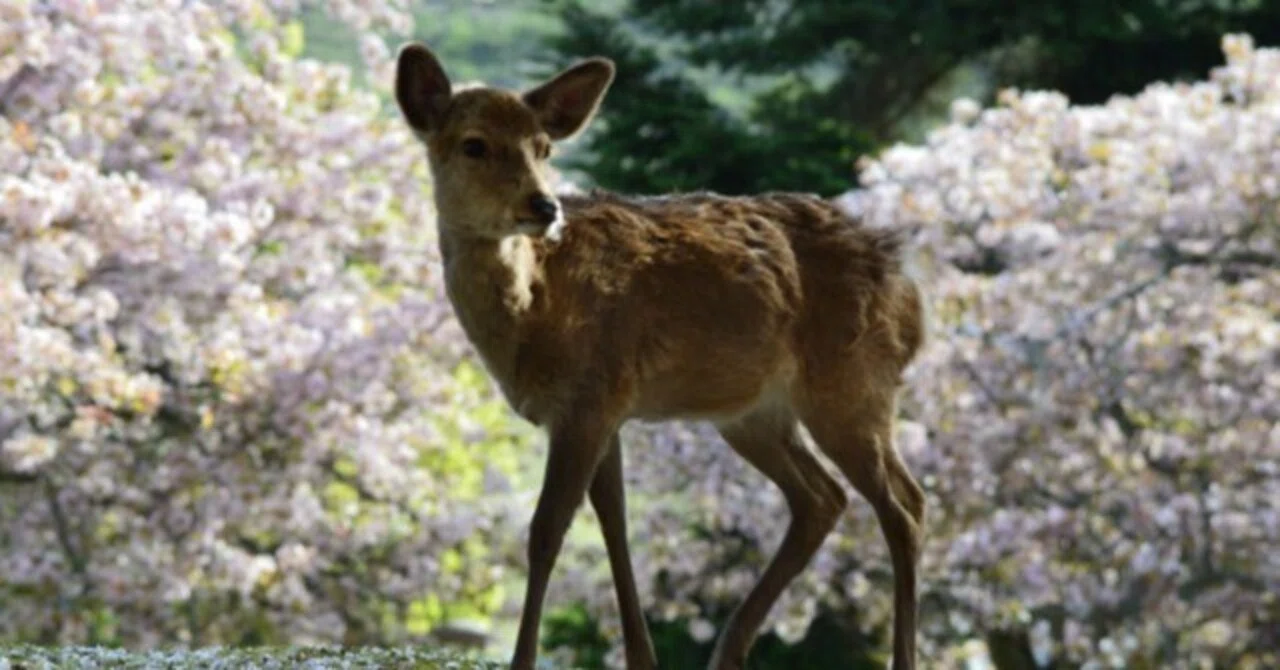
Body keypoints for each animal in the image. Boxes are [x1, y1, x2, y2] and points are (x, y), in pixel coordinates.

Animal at [393, 42, 928, 670]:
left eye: (544, 147)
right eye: (474, 143)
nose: (544, 205)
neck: (533, 316)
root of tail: (911, 296)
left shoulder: (589, 398)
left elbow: (546, 530)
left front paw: (523, 660)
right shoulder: (600, 408)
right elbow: (614, 523)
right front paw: (640, 657)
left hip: (850, 383)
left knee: (902, 505)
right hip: (755, 414)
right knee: (824, 497)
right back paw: (728, 651)